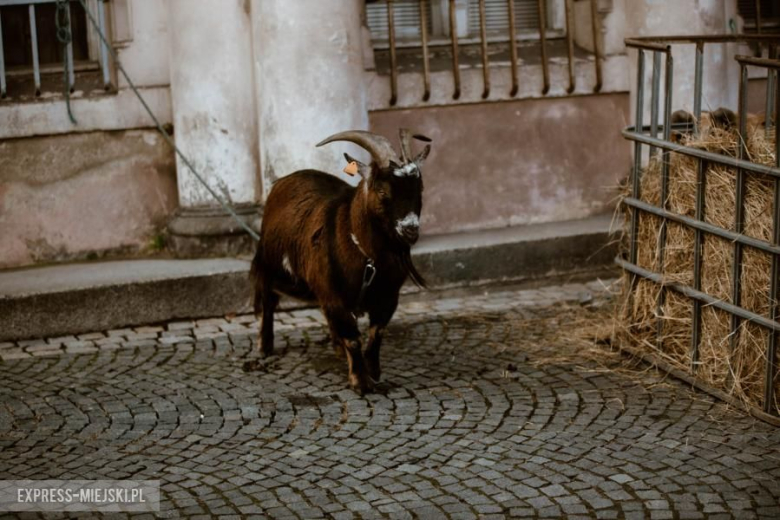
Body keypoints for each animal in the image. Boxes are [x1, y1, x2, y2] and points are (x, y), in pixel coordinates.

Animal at [251, 130, 430, 394]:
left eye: (420, 189)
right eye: (382, 191)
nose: (410, 229)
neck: (369, 258)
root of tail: (284, 180)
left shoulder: (388, 296)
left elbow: (376, 333)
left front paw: (373, 372)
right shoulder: (334, 294)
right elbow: (353, 338)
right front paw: (361, 382)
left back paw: (336, 347)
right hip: (268, 264)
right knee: (268, 300)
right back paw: (265, 346)